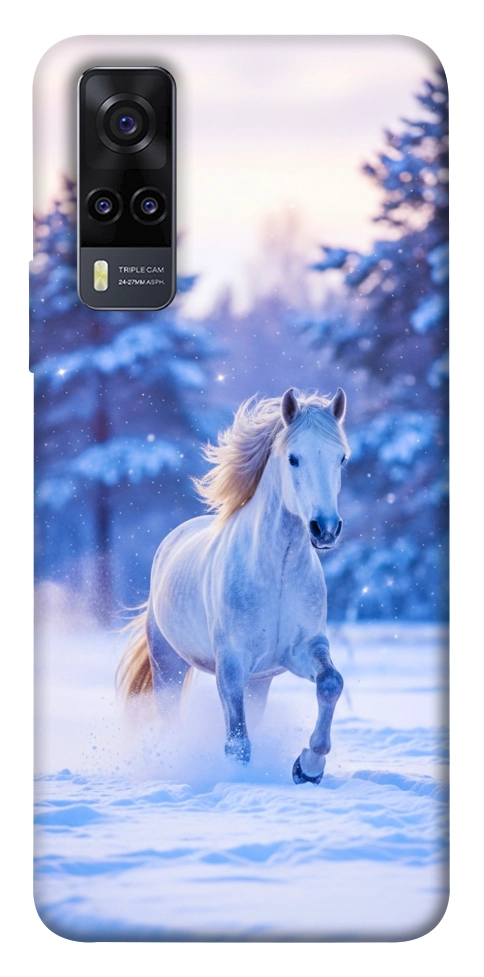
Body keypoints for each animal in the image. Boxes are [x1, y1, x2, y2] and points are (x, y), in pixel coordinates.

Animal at [118, 387, 350, 784]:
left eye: (341, 459)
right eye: (294, 458)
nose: (325, 529)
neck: (277, 573)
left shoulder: (301, 649)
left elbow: (331, 683)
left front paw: (308, 767)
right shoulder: (231, 664)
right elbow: (237, 742)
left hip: (259, 681)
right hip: (168, 665)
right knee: (171, 717)